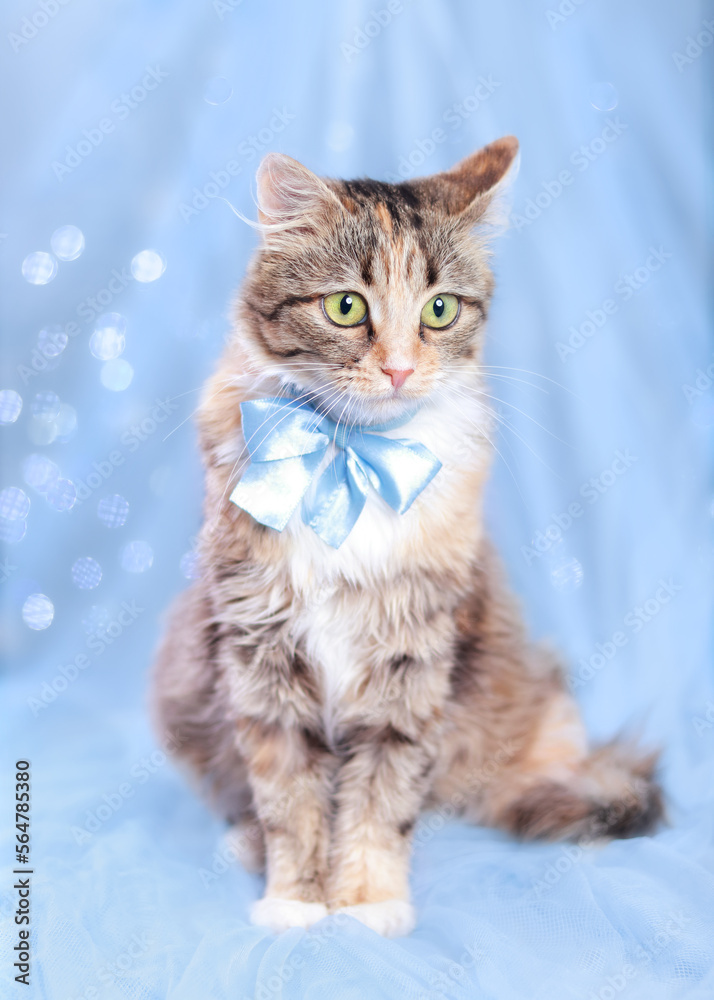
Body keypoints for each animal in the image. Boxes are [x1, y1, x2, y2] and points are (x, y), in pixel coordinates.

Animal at [153, 135, 660, 936]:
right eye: (346, 306)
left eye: (440, 310)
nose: (397, 369)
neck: (350, 459)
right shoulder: (260, 651)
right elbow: (290, 799)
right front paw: (295, 901)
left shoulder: (412, 656)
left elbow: (380, 799)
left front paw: (367, 903)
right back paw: (245, 845)